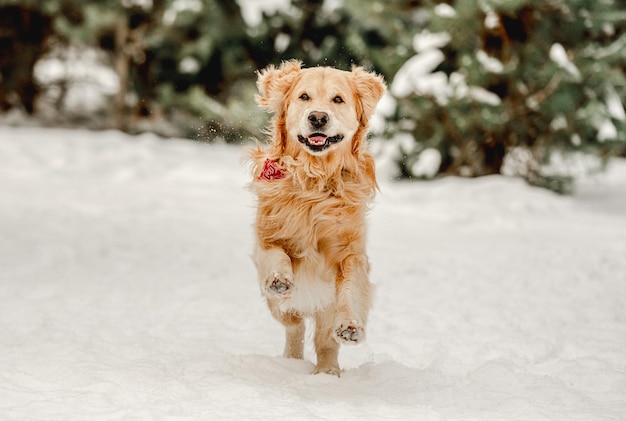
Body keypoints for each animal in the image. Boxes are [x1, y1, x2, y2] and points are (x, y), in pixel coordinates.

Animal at [246, 58, 382, 374]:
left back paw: (328, 372)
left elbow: (351, 287)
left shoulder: (351, 253)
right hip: (279, 308)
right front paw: (279, 277)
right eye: (304, 97)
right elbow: (275, 254)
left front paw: (350, 326)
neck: (315, 181)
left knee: (325, 340)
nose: (318, 118)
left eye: (338, 99)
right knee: (293, 324)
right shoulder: (267, 235)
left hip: (326, 305)